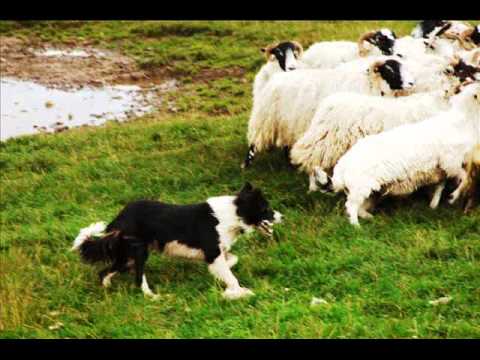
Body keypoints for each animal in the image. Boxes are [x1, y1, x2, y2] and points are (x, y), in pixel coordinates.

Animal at [71, 183, 282, 300]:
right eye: (266, 208)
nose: (282, 216)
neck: (234, 214)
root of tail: (118, 220)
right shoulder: (213, 253)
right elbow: (231, 276)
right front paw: (238, 292)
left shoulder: (216, 254)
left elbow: (231, 261)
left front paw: (225, 284)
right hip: (139, 252)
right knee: (139, 280)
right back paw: (154, 297)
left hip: (127, 257)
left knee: (103, 272)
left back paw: (107, 290)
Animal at [242, 56, 414, 169]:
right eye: (389, 70)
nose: (412, 83)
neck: (371, 84)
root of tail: (273, 79)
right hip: (265, 120)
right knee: (253, 143)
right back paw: (246, 165)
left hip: (286, 123)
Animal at [330, 82, 480, 226]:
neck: (463, 119)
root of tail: (341, 166)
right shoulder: (450, 161)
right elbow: (464, 178)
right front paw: (453, 196)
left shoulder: (441, 168)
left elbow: (441, 185)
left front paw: (435, 203)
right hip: (360, 186)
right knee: (351, 206)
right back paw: (356, 226)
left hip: (367, 189)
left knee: (360, 207)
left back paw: (369, 217)